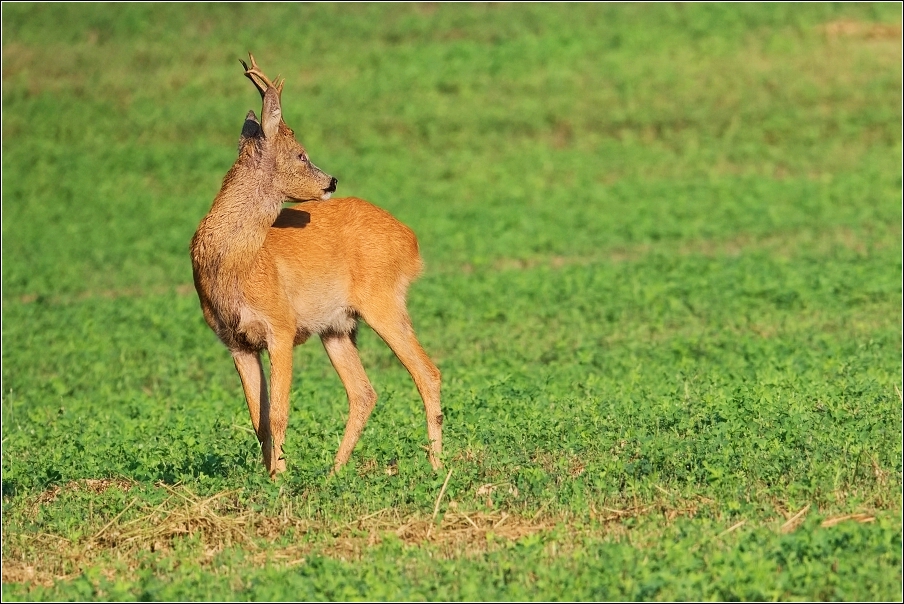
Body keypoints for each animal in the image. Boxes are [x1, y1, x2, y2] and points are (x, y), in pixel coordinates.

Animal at [189, 56, 444, 478]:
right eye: (301, 155)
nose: (331, 181)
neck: (237, 264)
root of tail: (411, 240)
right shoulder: (235, 341)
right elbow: (258, 419)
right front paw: (269, 474)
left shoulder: (281, 325)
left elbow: (278, 413)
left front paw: (279, 477)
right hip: (337, 326)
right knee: (363, 392)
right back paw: (335, 472)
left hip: (383, 301)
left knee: (427, 373)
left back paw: (436, 465)